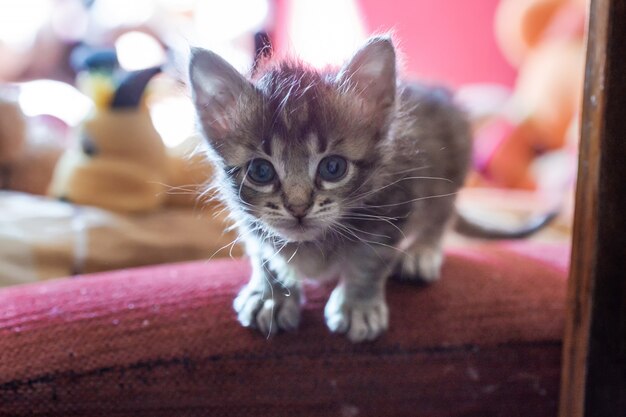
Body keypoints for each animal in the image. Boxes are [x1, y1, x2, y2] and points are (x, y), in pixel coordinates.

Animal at [186, 36, 540, 342]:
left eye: (333, 168)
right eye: (260, 171)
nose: (298, 208)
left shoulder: (394, 202)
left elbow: (369, 259)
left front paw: (358, 306)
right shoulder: (249, 220)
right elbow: (262, 251)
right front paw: (270, 295)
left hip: (451, 166)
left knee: (441, 214)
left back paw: (422, 252)